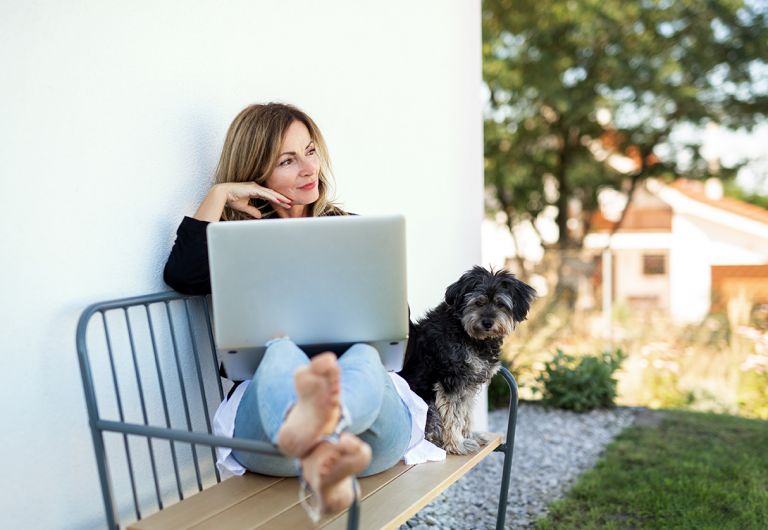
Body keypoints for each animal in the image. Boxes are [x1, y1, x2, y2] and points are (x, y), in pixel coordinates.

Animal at [400, 266, 536, 452]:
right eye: (478, 303)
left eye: (500, 304)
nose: (487, 323)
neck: (467, 334)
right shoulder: (452, 381)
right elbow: (453, 414)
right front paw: (457, 444)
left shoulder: (469, 382)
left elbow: (466, 411)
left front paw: (468, 436)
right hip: (428, 406)